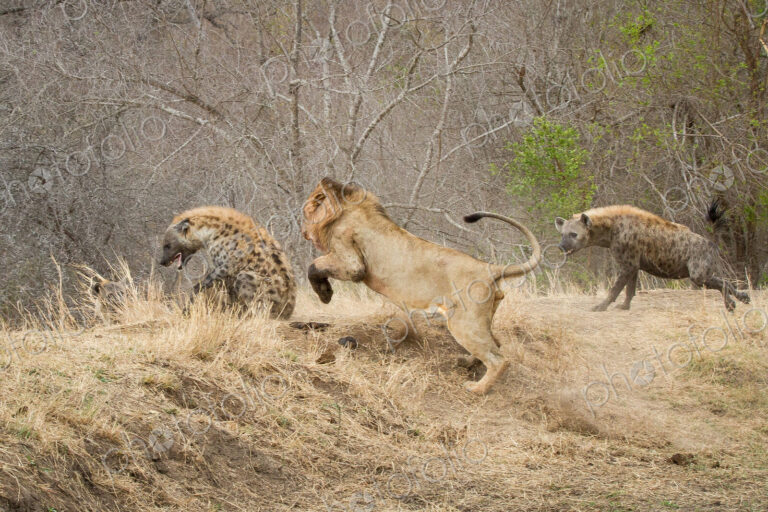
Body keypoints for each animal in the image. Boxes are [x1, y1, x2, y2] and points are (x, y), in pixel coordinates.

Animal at [301, 178, 542, 395]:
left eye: (306, 211)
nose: (302, 230)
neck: (343, 208)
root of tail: (490, 269)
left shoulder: (352, 263)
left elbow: (314, 265)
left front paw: (325, 294)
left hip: (464, 322)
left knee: (499, 359)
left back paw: (477, 388)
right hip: (481, 319)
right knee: (496, 344)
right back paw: (465, 362)